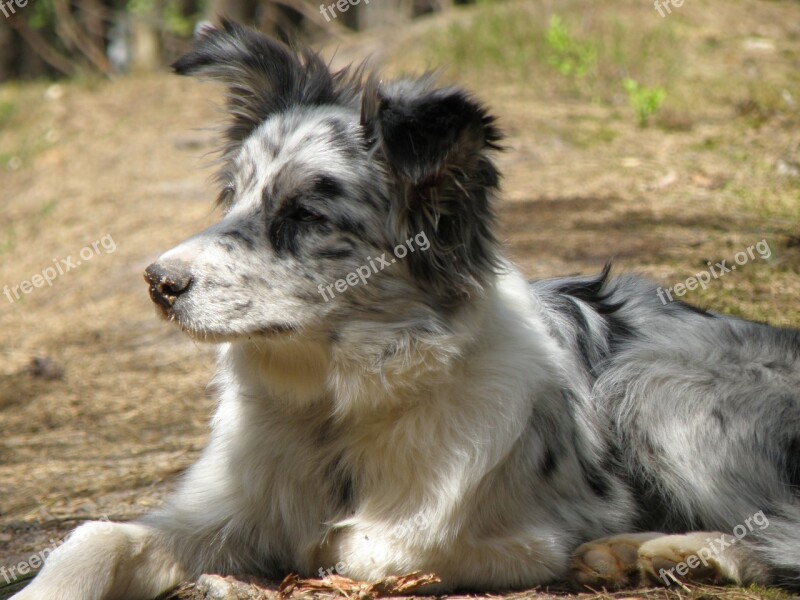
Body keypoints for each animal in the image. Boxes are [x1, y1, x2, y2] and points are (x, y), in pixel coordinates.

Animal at [10, 19, 800, 600]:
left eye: (305, 216)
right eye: (232, 196)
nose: (158, 281)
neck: (333, 416)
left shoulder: (513, 532)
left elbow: (366, 546)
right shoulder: (221, 508)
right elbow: (97, 536)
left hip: (650, 383)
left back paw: (652, 550)